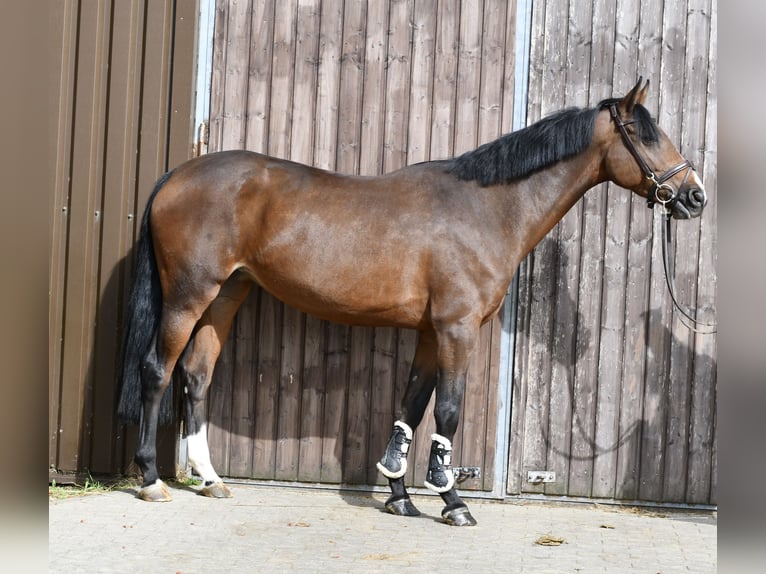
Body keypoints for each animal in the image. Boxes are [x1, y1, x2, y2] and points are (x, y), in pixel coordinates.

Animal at [117, 79, 707, 526]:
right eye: (643, 134)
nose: (694, 195)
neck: (486, 207)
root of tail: (177, 175)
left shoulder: (429, 331)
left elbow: (410, 407)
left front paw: (399, 496)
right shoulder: (456, 329)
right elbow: (447, 412)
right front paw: (453, 502)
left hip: (226, 294)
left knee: (196, 374)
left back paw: (211, 479)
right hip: (189, 294)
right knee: (157, 371)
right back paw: (151, 479)